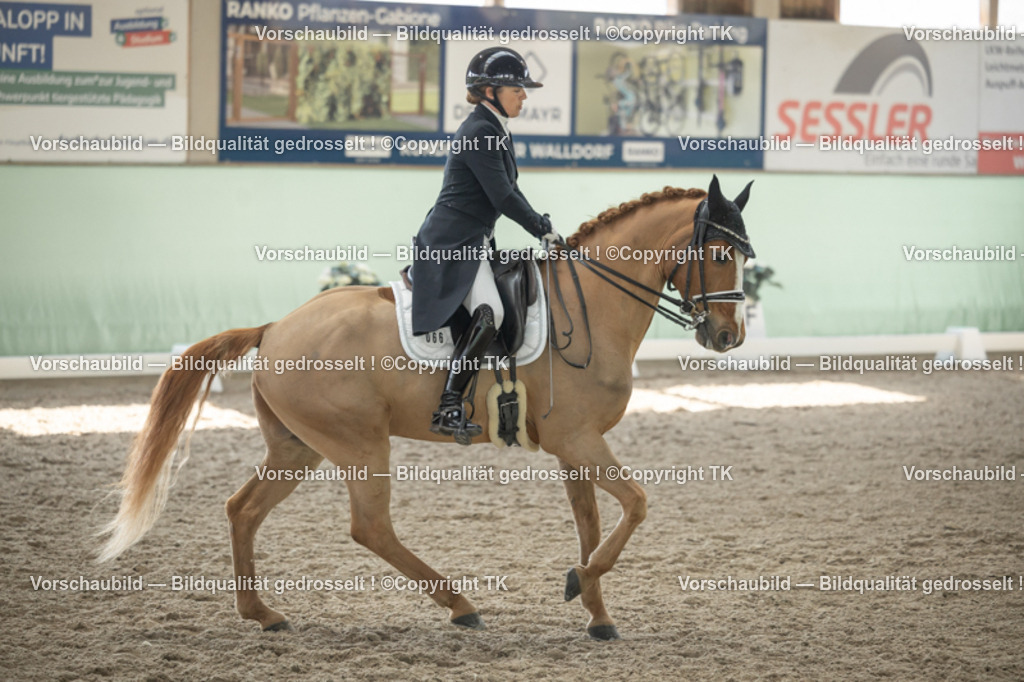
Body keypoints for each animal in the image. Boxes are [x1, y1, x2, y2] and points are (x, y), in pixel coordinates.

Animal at [98, 175, 754, 640]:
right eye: (721, 254)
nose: (728, 337)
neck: (592, 304)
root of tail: (274, 327)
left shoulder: (575, 447)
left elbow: (591, 527)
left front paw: (596, 614)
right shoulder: (578, 440)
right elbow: (637, 505)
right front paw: (580, 583)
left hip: (298, 446)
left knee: (243, 510)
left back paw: (263, 613)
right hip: (359, 443)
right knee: (370, 527)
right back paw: (460, 605)